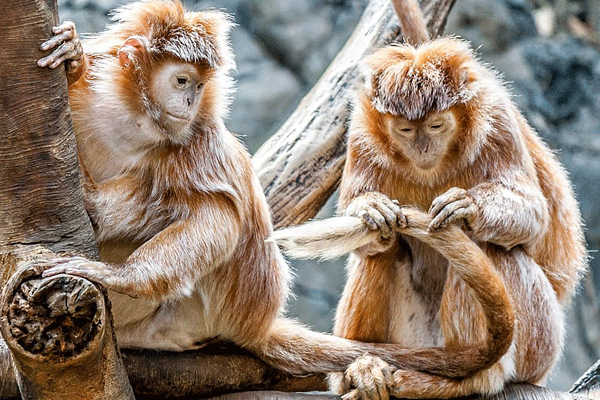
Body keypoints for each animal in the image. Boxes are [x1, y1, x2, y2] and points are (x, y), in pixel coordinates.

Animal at [37, 0, 524, 382]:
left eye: (198, 85)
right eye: (181, 81)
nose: (190, 101)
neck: (137, 119)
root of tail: (253, 325)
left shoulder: (197, 139)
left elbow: (217, 216)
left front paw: (121, 275)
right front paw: (73, 59)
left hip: (198, 310)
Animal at [268, 0, 584, 396]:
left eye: (436, 125)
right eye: (405, 129)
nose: (422, 147)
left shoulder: (496, 120)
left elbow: (534, 216)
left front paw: (469, 207)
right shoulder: (361, 132)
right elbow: (366, 231)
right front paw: (370, 208)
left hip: (541, 345)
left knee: (494, 249)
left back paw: (476, 376)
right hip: (413, 337)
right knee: (383, 247)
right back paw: (361, 369)